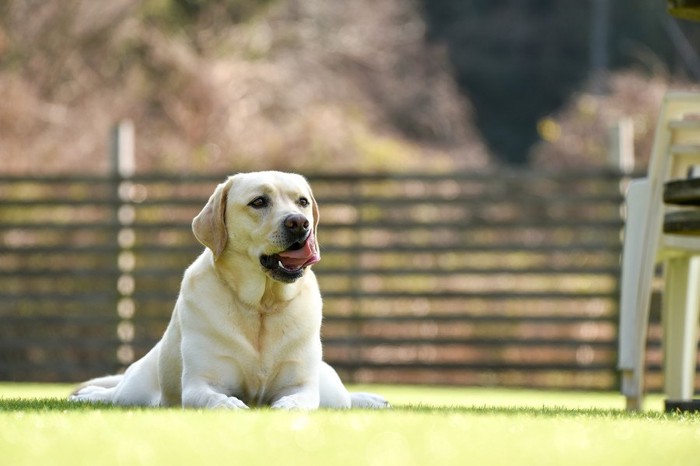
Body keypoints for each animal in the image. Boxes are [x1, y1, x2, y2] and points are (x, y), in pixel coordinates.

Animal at [69, 173, 388, 410]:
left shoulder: (303, 385)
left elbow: (298, 400)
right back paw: (89, 395)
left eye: (303, 202)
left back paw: (370, 399)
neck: (261, 306)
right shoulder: (200, 384)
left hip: (331, 388)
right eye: (259, 201)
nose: (300, 223)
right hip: (135, 388)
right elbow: (215, 399)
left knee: (344, 399)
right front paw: (232, 404)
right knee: (117, 394)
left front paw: (285, 407)